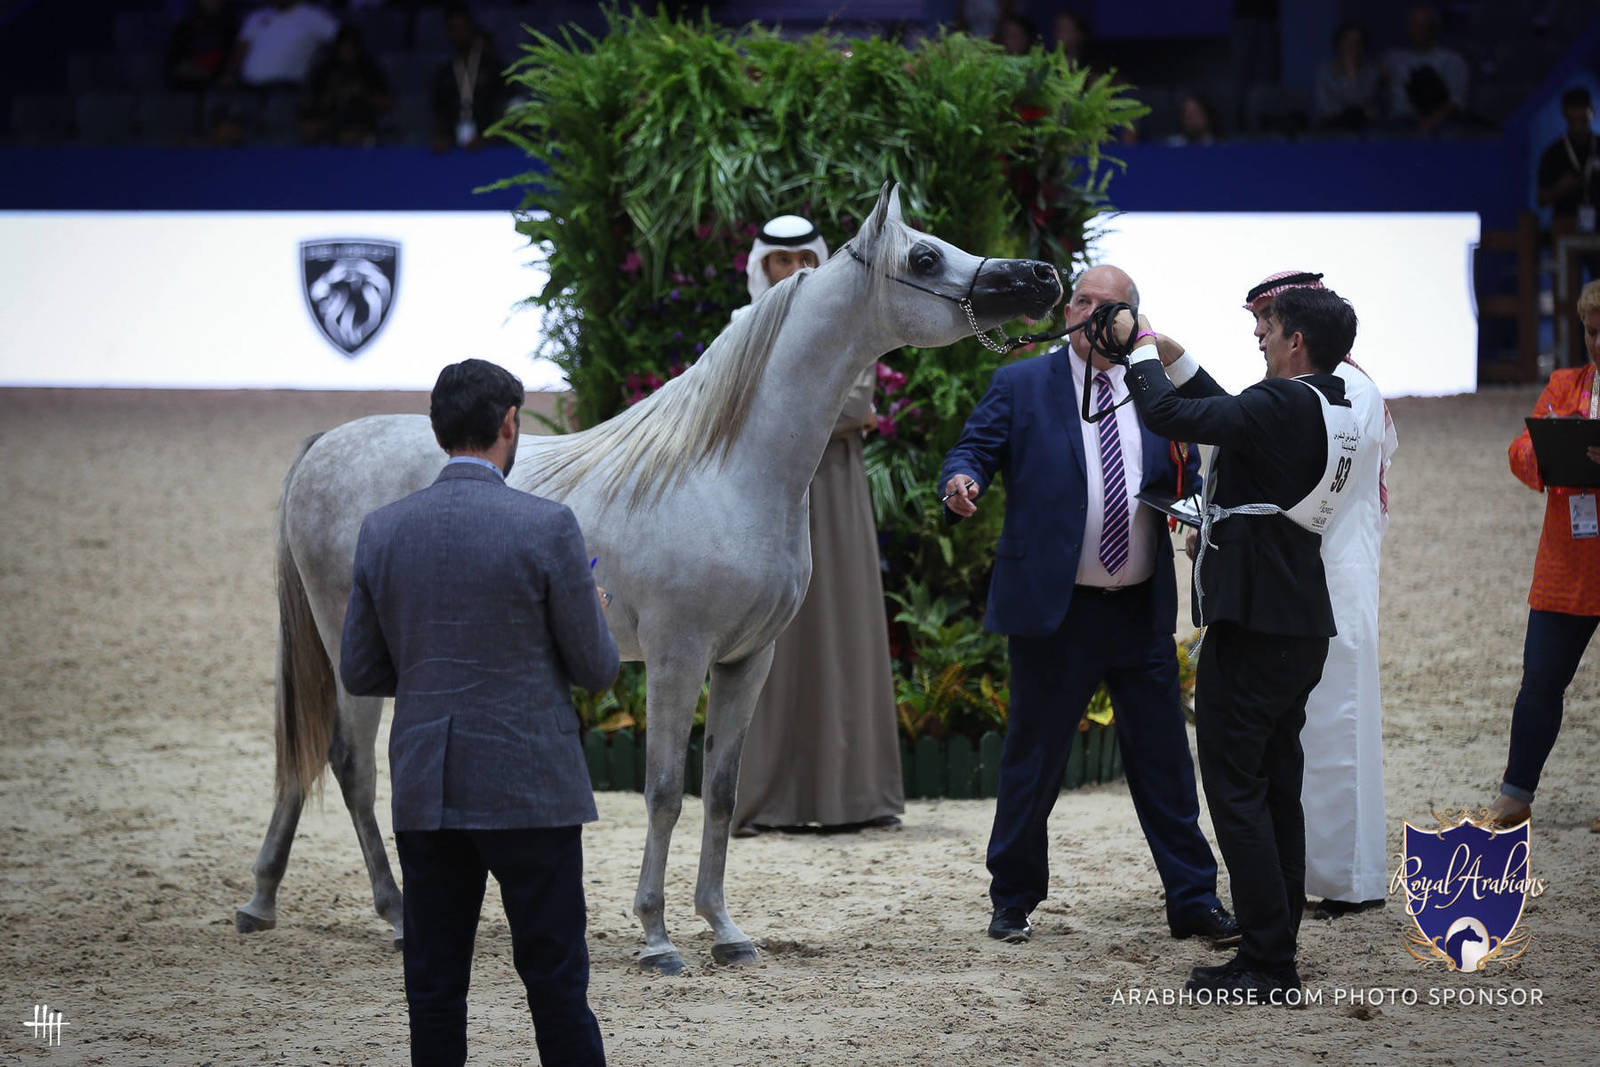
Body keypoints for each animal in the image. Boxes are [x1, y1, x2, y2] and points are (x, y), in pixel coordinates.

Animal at [235, 183, 1062, 975]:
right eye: (924, 256)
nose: (1041, 277)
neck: (725, 470)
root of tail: (323, 445)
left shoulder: (745, 660)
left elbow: (721, 794)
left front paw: (725, 930)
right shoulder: (676, 657)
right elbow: (665, 791)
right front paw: (657, 937)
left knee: (308, 761)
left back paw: (262, 898)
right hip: (353, 649)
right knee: (350, 766)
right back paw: (395, 910)